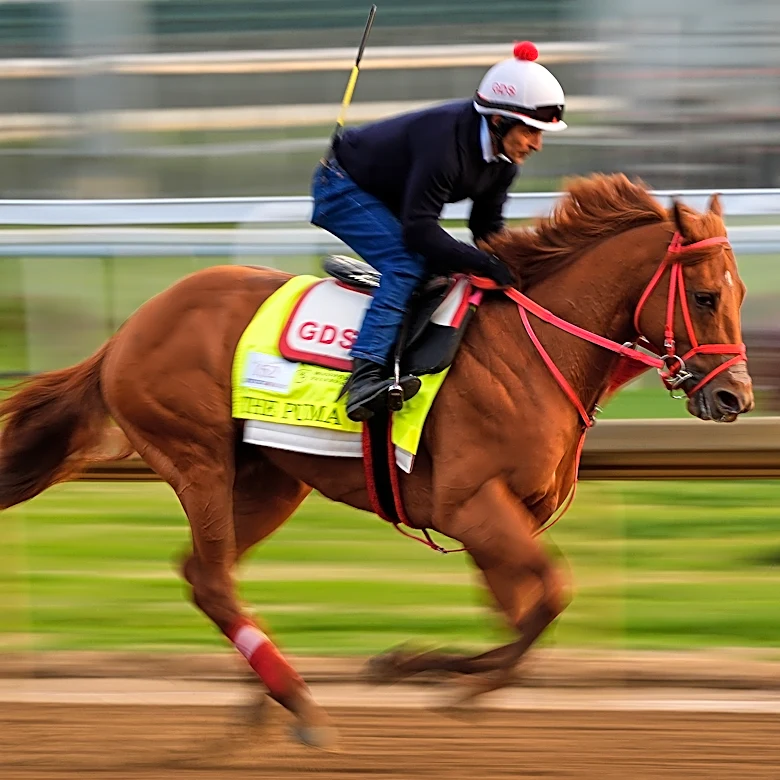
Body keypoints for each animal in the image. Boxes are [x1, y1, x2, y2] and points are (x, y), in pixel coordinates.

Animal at [0, 173, 753, 749]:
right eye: (706, 296)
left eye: (741, 294)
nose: (735, 396)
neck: (534, 350)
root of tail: (130, 329)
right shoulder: (472, 506)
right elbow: (549, 600)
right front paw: (421, 671)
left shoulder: (507, 520)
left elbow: (523, 613)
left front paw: (429, 669)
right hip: (198, 456)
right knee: (212, 580)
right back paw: (298, 701)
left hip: (268, 480)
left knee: (206, 575)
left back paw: (267, 701)